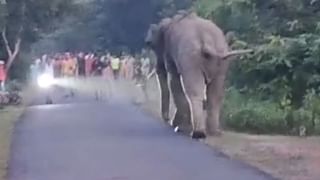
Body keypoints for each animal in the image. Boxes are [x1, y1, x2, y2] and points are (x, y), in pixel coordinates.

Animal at [145, 11, 252, 139]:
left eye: (152, 45)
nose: (166, 120)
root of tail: (208, 41)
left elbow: (174, 81)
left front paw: (178, 126)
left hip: (192, 58)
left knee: (194, 91)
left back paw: (197, 133)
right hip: (222, 60)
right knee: (215, 94)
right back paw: (214, 132)